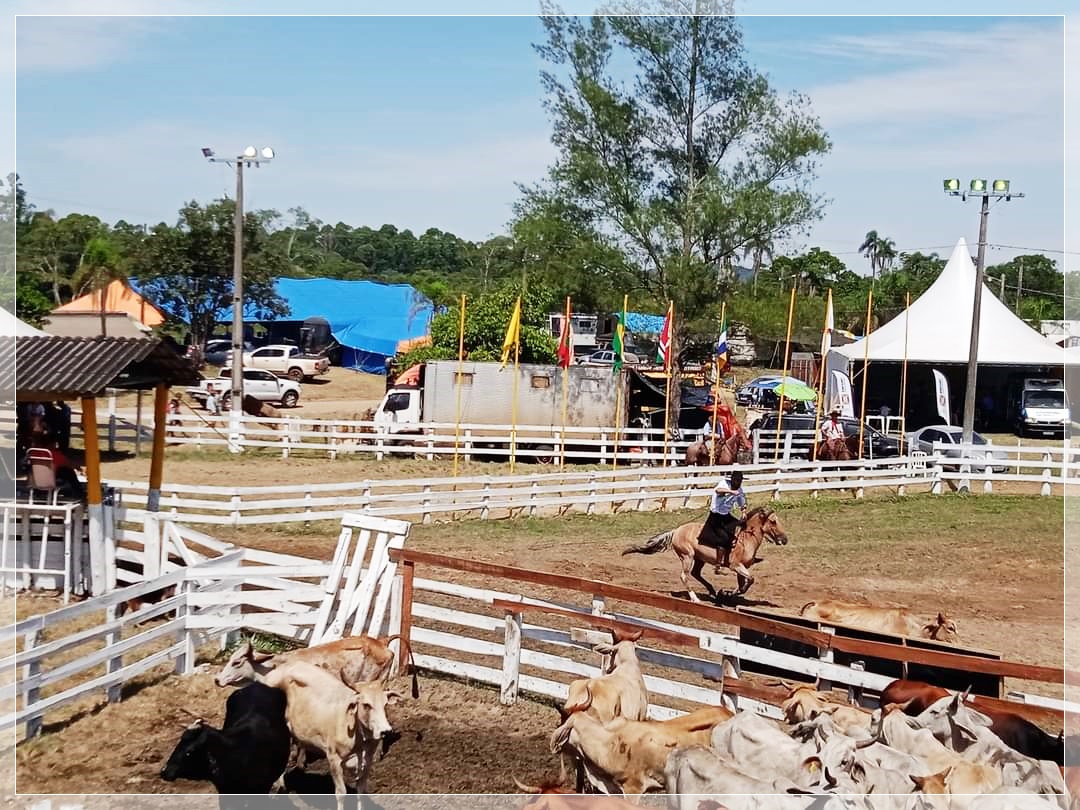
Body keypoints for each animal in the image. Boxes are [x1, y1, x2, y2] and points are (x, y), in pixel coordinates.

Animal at [261, 660, 402, 807]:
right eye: (366, 705)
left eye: (385, 704)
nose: (386, 730)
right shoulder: (334, 759)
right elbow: (341, 793)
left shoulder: (367, 761)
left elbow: (361, 791)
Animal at [621, 507, 789, 601]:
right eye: (773, 521)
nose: (784, 539)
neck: (746, 539)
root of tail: (677, 530)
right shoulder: (736, 566)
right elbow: (751, 580)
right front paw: (728, 594)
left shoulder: (741, 569)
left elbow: (744, 585)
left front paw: (728, 594)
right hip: (687, 556)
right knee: (684, 576)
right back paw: (695, 598)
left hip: (699, 559)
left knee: (696, 574)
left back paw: (713, 591)